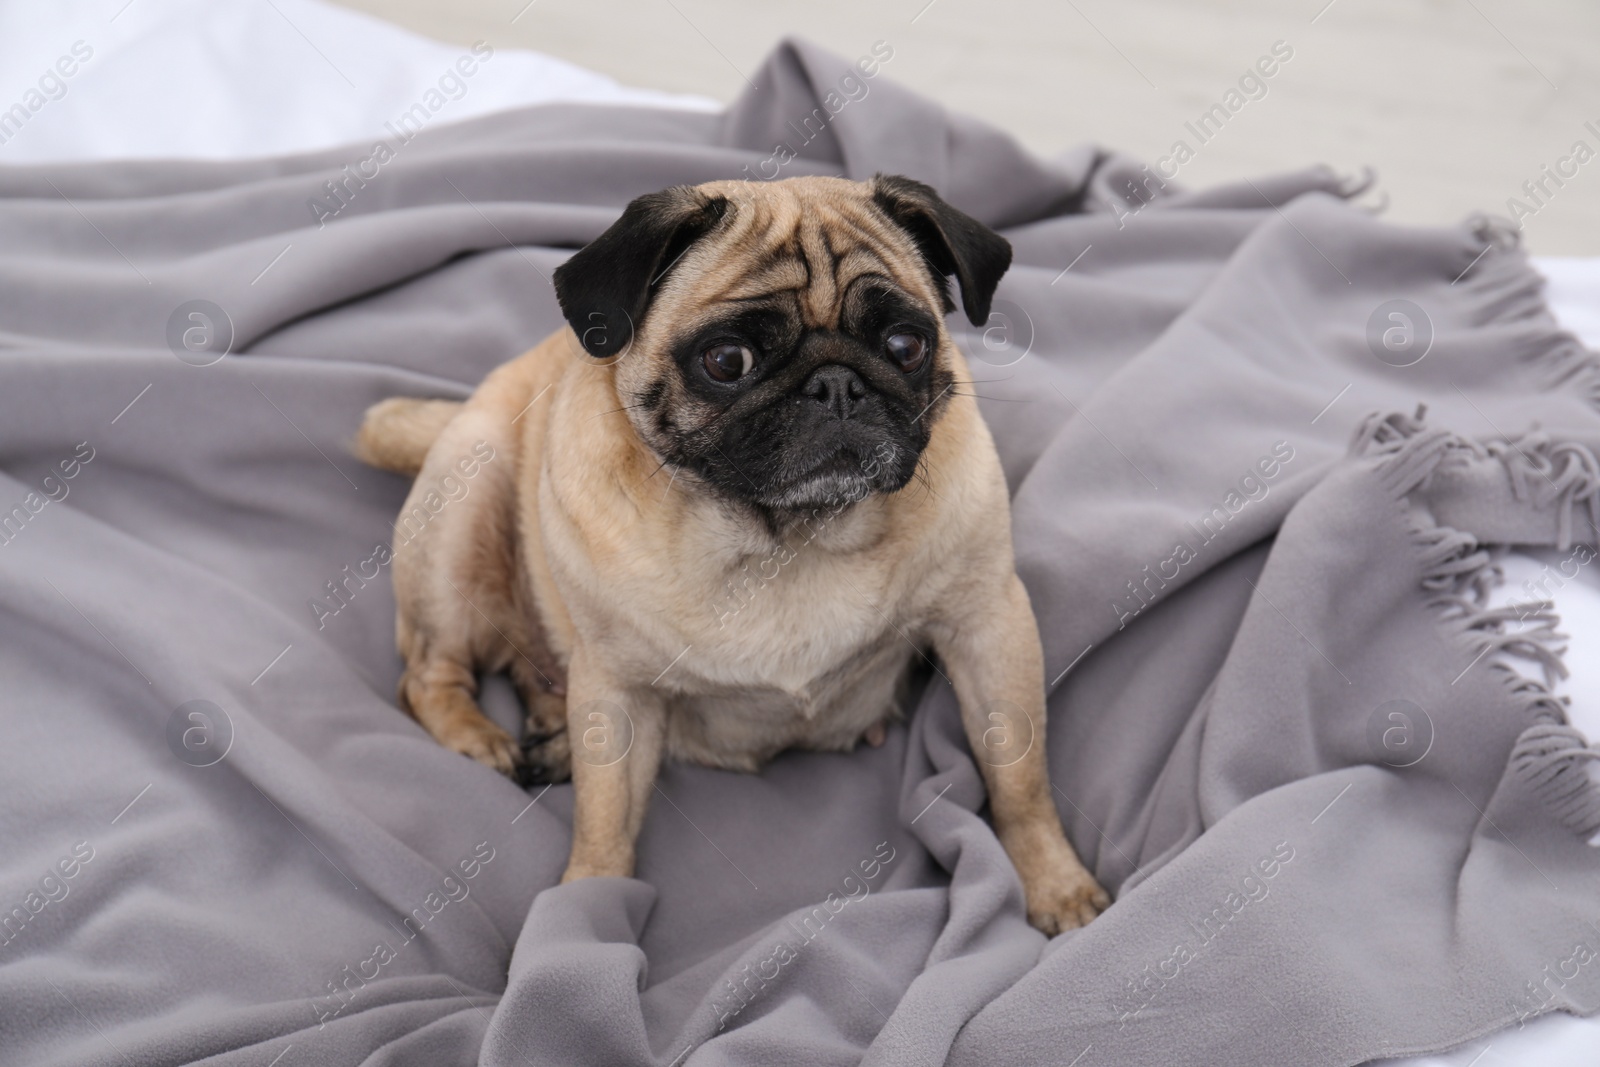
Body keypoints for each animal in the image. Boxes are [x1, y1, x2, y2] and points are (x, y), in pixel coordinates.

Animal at [360, 171, 1113, 927]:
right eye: (728, 361)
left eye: (906, 344)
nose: (837, 384)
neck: (788, 535)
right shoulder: (616, 689)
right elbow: (604, 823)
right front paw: (585, 906)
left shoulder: (987, 623)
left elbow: (1019, 775)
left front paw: (1056, 883)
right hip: (465, 505)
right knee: (428, 673)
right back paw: (481, 740)